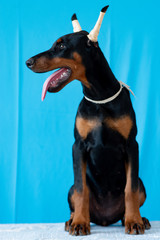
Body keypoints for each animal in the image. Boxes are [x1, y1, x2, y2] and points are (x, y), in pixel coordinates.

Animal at [25, 5, 151, 236]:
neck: (99, 98)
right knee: (75, 194)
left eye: (61, 45)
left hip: (142, 184)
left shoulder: (131, 145)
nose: (27, 62)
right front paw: (80, 223)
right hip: (69, 190)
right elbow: (81, 188)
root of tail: (105, 219)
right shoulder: (78, 146)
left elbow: (129, 189)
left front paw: (134, 221)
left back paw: (138, 219)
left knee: (134, 191)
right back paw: (72, 220)